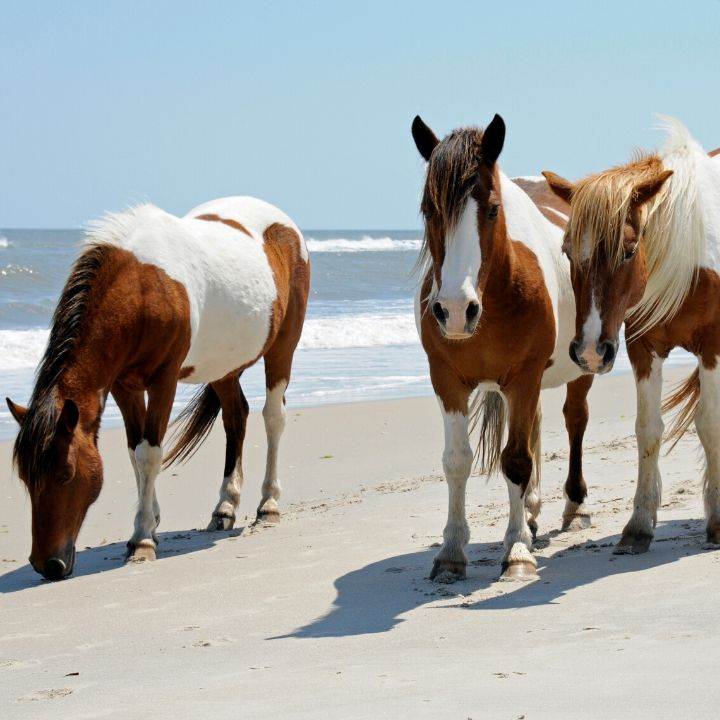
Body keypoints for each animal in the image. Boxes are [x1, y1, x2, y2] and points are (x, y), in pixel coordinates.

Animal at [6, 195, 310, 580]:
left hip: (283, 346)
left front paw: (143, 541)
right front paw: (148, 523)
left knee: (273, 417)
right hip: (223, 367)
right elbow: (135, 452)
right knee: (235, 418)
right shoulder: (124, 385)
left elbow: (150, 453)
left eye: (66, 474)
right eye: (26, 477)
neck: (141, 288)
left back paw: (267, 505)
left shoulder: (163, 381)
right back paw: (224, 508)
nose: (48, 564)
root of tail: (284, 224)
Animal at [414, 114, 592, 584]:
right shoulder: (447, 380)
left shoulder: (524, 377)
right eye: (429, 210)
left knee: (574, 421)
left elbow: (515, 461)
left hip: (582, 366)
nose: (455, 311)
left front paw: (516, 552)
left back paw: (574, 506)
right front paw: (451, 551)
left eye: (493, 209)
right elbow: (457, 460)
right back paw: (530, 512)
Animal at [544, 118, 720, 556]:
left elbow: (710, 424)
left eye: (627, 250)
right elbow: (647, 430)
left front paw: (718, 522)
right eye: (567, 251)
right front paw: (639, 524)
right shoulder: (644, 350)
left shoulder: (712, 347)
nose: (590, 352)